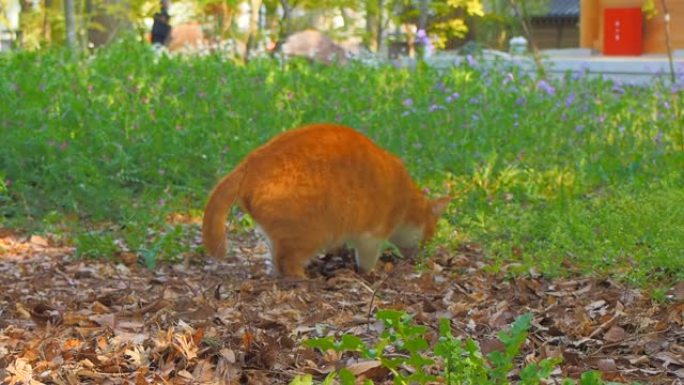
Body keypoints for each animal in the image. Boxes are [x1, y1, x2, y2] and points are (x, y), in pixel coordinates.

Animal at [202, 123, 448, 276]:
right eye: (430, 235)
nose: (424, 255)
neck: (405, 201)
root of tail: (250, 162)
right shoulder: (371, 235)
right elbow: (367, 261)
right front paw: (371, 272)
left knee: (276, 259)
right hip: (310, 233)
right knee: (287, 262)